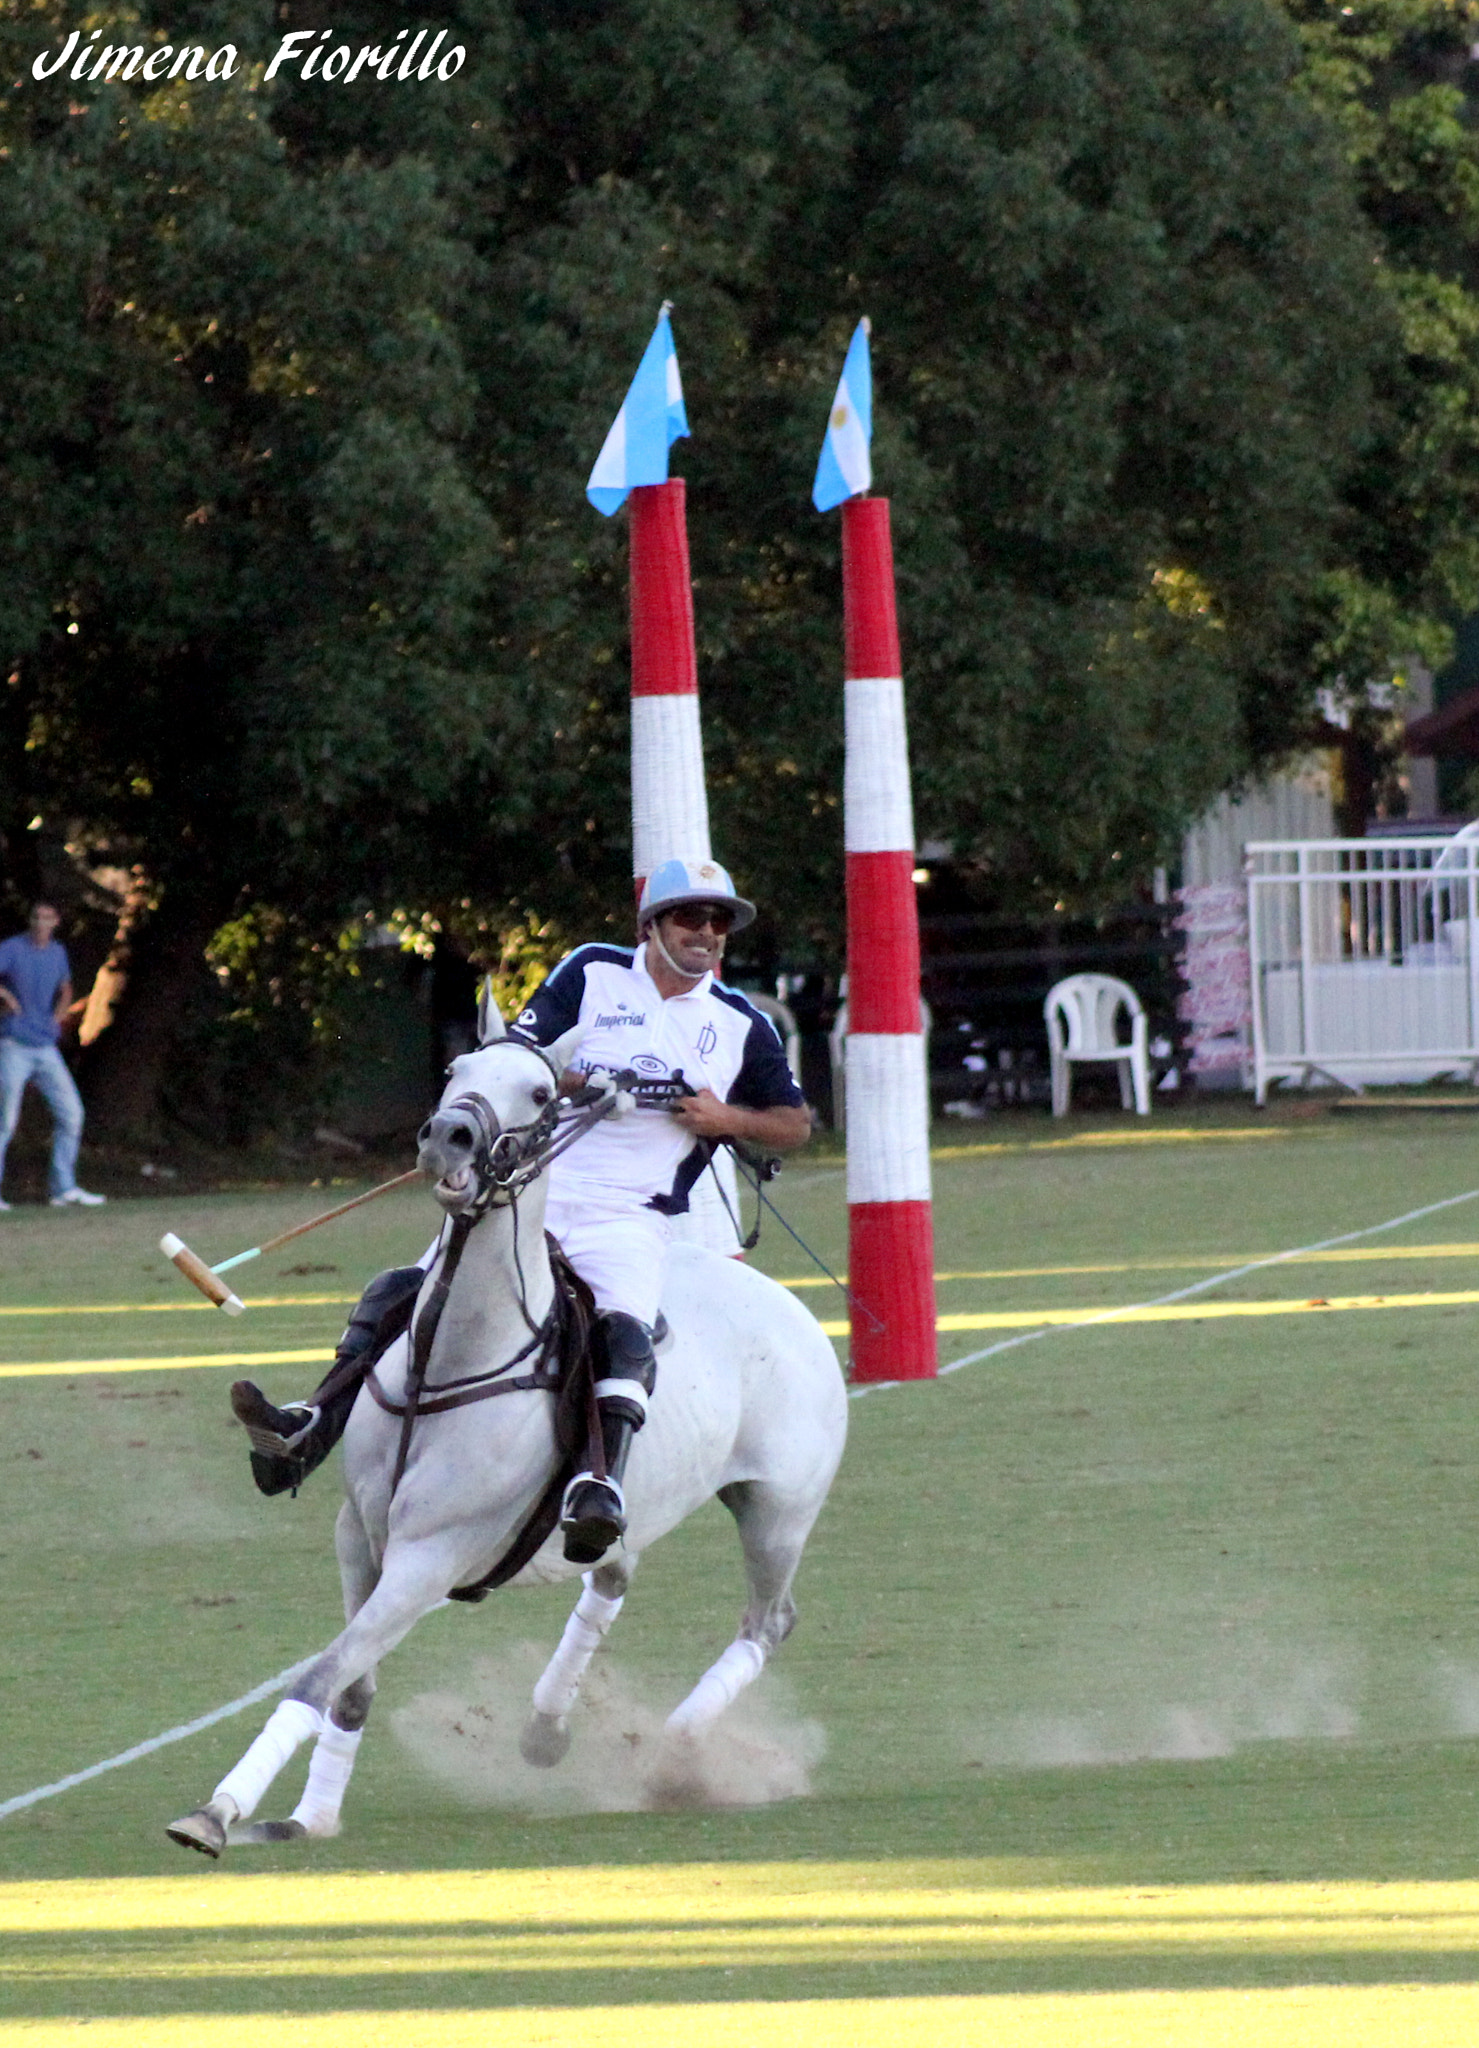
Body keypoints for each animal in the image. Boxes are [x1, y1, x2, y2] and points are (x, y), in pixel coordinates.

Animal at [163, 1024, 839, 1859]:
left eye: (543, 1092)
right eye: (457, 1069)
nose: (445, 1137)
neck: (449, 1360)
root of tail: (790, 1301)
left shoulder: (430, 1555)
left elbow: (319, 1675)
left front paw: (215, 1812)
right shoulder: (359, 1534)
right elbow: (350, 1686)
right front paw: (306, 1818)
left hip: (778, 1509)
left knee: (766, 1621)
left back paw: (671, 1747)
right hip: (643, 1510)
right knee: (611, 1572)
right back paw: (547, 1726)